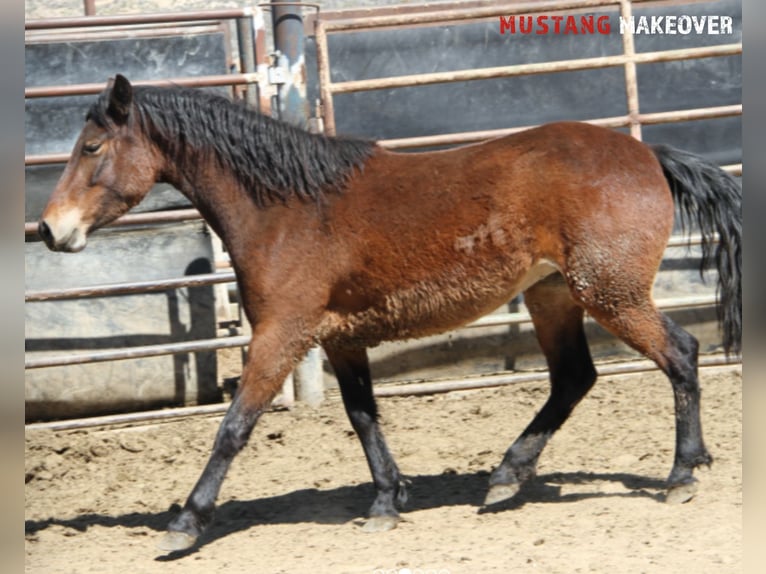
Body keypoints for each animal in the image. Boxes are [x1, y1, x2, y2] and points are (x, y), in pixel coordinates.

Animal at [39, 75, 740, 552]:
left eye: (92, 146)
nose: (50, 230)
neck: (286, 208)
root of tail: (649, 156)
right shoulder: (339, 339)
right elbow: (363, 418)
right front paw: (386, 500)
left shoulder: (280, 335)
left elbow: (234, 427)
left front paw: (185, 522)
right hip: (554, 295)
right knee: (574, 378)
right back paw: (507, 476)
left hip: (610, 294)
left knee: (679, 356)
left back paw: (681, 472)